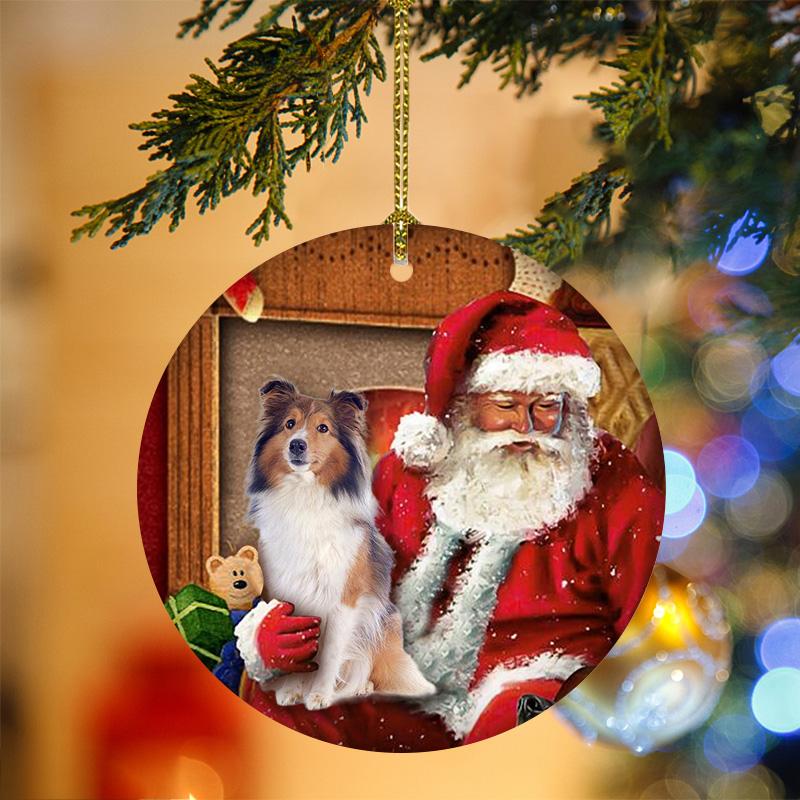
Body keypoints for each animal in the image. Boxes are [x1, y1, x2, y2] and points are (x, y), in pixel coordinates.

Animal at [247, 378, 434, 708]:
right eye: (289, 424)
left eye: (323, 428)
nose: (297, 444)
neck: (304, 497)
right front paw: (292, 691)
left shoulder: (344, 600)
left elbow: (331, 654)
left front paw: (319, 695)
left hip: (382, 625)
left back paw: (359, 688)